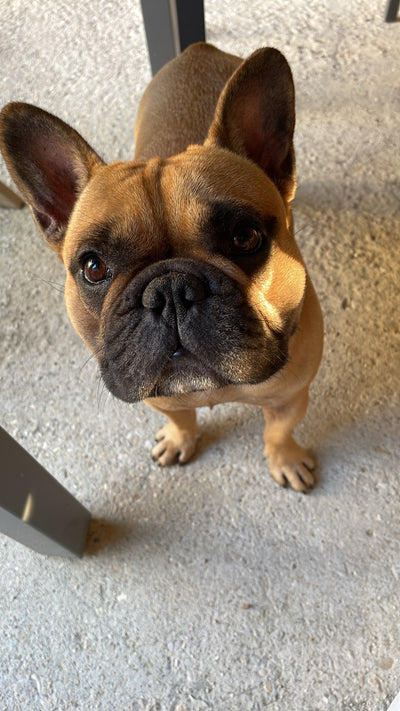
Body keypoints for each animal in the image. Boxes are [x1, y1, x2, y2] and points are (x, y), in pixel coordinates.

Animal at [0, 41, 324, 492]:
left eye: (245, 237)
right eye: (93, 267)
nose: (170, 290)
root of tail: (199, 48)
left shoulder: (291, 397)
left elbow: (278, 431)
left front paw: (286, 459)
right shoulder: (158, 397)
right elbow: (181, 417)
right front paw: (178, 440)